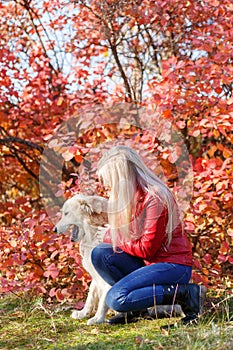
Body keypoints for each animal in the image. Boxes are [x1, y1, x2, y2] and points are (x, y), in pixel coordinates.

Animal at [54, 193, 110, 324]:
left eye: (66, 213)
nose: (54, 230)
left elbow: (104, 297)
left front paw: (98, 318)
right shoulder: (94, 273)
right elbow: (91, 294)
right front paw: (83, 313)